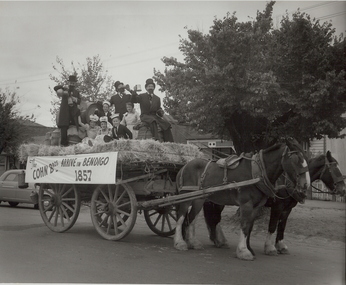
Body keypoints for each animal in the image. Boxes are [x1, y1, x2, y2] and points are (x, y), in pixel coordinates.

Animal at [174, 138, 310, 260]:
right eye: (297, 158)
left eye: (306, 156)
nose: (306, 184)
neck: (257, 172)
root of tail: (184, 166)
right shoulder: (247, 204)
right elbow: (245, 225)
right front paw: (243, 251)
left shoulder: (257, 206)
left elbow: (250, 227)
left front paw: (250, 249)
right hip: (186, 197)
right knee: (181, 217)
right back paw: (180, 243)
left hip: (199, 199)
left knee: (191, 218)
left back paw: (193, 242)